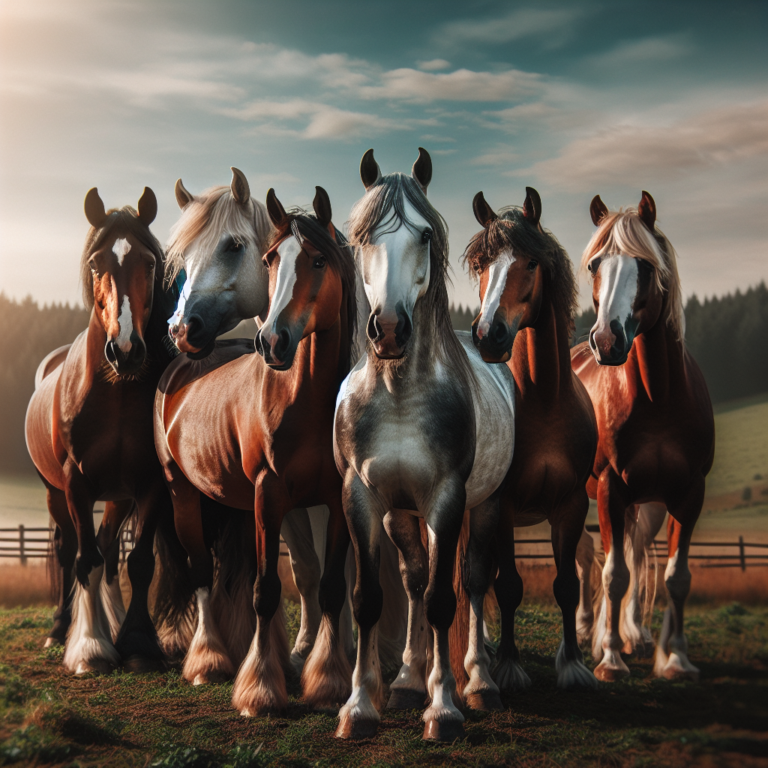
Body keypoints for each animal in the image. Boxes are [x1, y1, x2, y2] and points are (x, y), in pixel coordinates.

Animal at [25, 187, 180, 674]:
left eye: (148, 263)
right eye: (96, 264)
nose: (125, 350)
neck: (115, 393)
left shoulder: (149, 483)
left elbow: (139, 562)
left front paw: (137, 644)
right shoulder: (76, 483)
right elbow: (85, 559)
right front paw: (90, 648)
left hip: (118, 496)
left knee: (112, 550)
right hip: (56, 494)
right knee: (67, 549)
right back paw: (61, 630)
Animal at [155, 186, 359, 714]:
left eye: (318, 261)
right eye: (269, 258)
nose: (273, 341)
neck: (302, 399)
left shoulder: (335, 502)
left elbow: (331, 586)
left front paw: (328, 680)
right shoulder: (271, 496)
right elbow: (267, 590)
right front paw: (261, 690)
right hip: (183, 495)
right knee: (203, 573)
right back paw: (209, 662)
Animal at [333, 148, 517, 742]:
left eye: (426, 235)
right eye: (363, 236)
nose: (389, 329)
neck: (397, 395)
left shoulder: (447, 499)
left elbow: (444, 600)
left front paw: (444, 709)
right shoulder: (362, 496)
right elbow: (370, 599)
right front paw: (359, 707)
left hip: (485, 505)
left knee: (473, 582)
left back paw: (478, 683)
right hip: (400, 513)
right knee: (413, 580)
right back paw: (408, 681)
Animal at [463, 188, 598, 691]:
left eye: (532, 263)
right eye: (482, 263)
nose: (489, 334)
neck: (542, 401)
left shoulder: (571, 505)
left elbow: (566, 585)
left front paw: (574, 664)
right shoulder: (500, 505)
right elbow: (508, 585)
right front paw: (508, 665)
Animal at [571, 192, 714, 681]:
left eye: (647, 267)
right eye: (595, 264)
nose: (606, 340)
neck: (657, 397)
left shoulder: (689, 493)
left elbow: (676, 577)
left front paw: (678, 659)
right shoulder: (611, 489)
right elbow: (613, 575)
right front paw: (610, 658)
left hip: (646, 505)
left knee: (632, 554)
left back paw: (637, 634)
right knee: (588, 555)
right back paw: (588, 630)